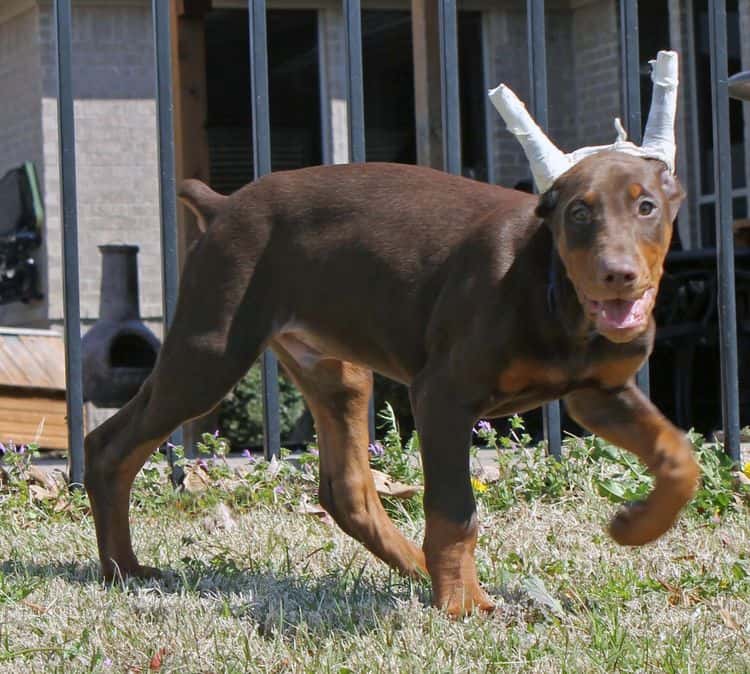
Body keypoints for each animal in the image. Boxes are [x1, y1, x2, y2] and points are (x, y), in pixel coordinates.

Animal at [85, 151, 704, 616]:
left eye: (646, 207)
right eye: (579, 213)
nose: (618, 275)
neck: (555, 294)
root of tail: (223, 206)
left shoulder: (598, 393)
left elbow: (680, 458)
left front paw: (635, 527)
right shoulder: (442, 395)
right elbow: (455, 511)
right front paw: (462, 606)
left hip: (336, 371)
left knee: (346, 491)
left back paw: (417, 567)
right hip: (209, 354)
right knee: (109, 444)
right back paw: (124, 569)